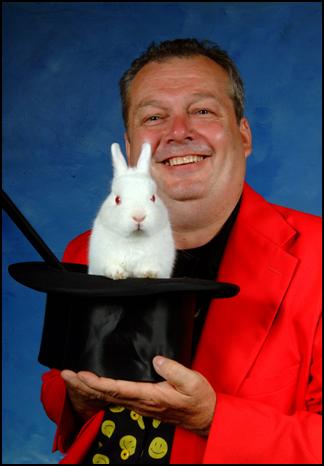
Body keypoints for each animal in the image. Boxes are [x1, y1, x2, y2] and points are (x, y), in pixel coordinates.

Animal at [87, 142, 176, 278]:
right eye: (117, 199)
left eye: (153, 198)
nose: (139, 217)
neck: (135, 240)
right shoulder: (102, 260)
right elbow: (109, 266)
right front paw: (118, 274)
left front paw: (148, 273)